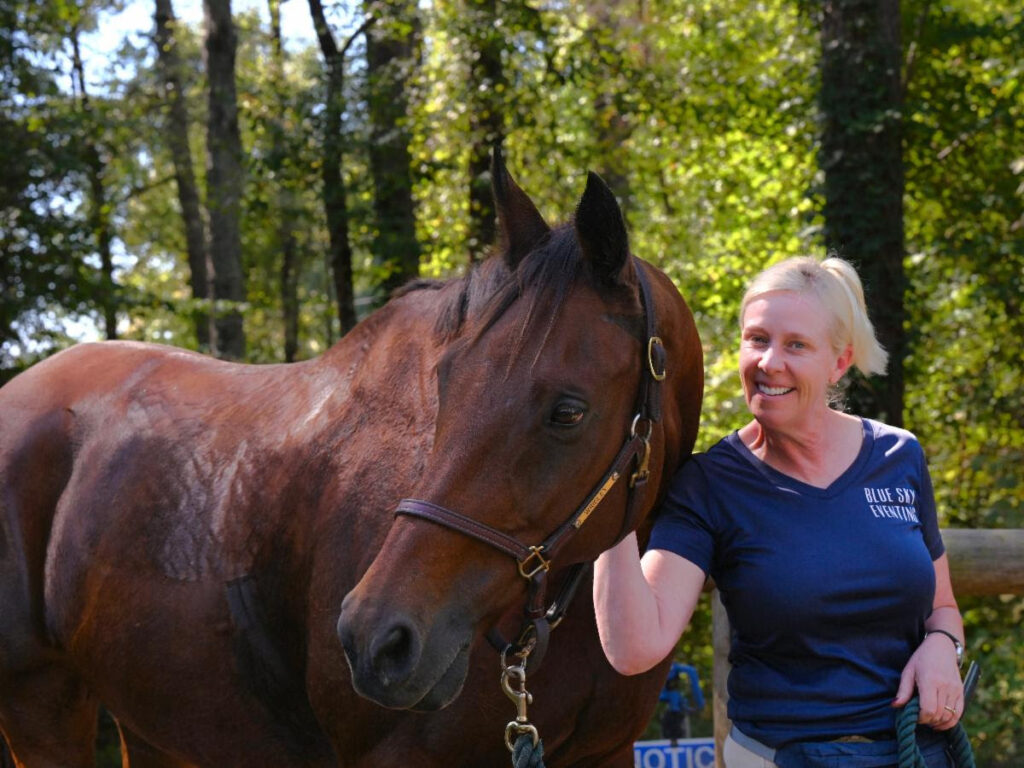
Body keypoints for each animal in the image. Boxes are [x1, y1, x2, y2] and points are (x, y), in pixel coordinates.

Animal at [0, 151, 703, 767]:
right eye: (445, 380)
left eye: (568, 411)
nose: (375, 639)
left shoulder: (604, 753)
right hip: (42, 707)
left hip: (156, 728)